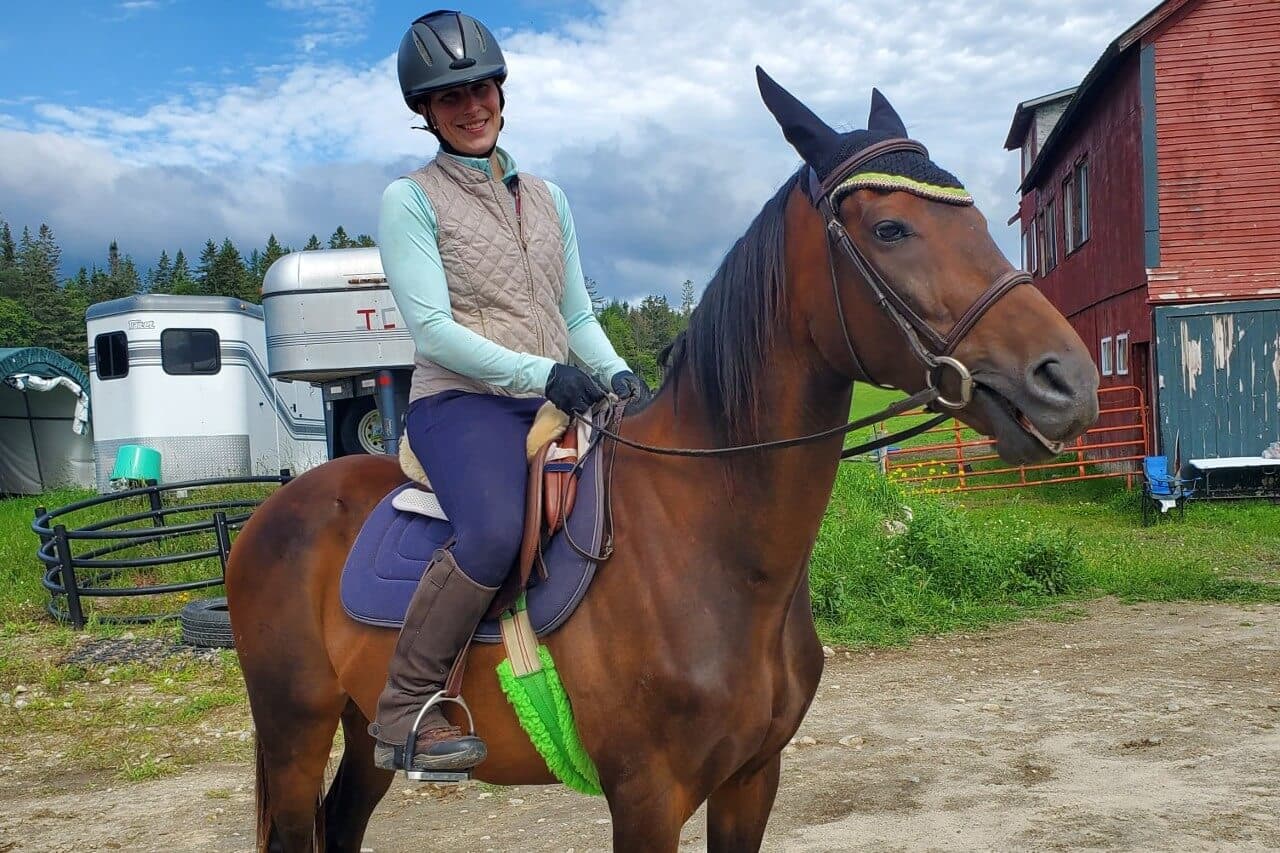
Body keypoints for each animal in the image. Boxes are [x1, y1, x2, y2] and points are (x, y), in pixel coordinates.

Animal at [226, 71, 1099, 852]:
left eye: (977, 214)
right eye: (891, 229)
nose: (1068, 380)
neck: (705, 542)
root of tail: (269, 514)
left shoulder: (752, 779)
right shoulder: (648, 796)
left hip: (364, 733)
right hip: (295, 729)